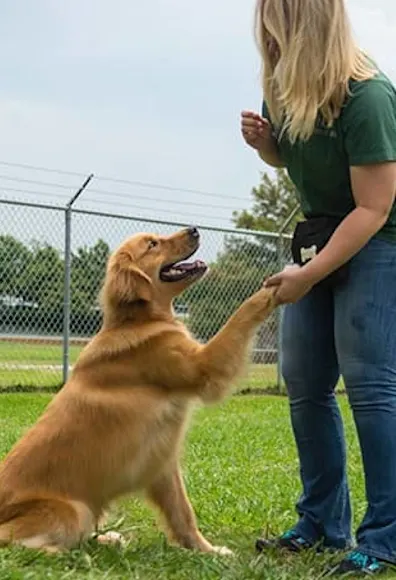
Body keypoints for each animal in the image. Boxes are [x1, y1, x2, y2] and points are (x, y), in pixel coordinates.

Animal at [0, 225, 276, 552]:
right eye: (153, 244)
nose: (194, 229)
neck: (138, 321)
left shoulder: (163, 464)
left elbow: (183, 514)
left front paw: (206, 551)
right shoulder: (204, 366)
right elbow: (240, 316)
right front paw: (271, 289)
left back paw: (107, 539)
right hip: (72, 510)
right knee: (13, 541)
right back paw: (61, 552)